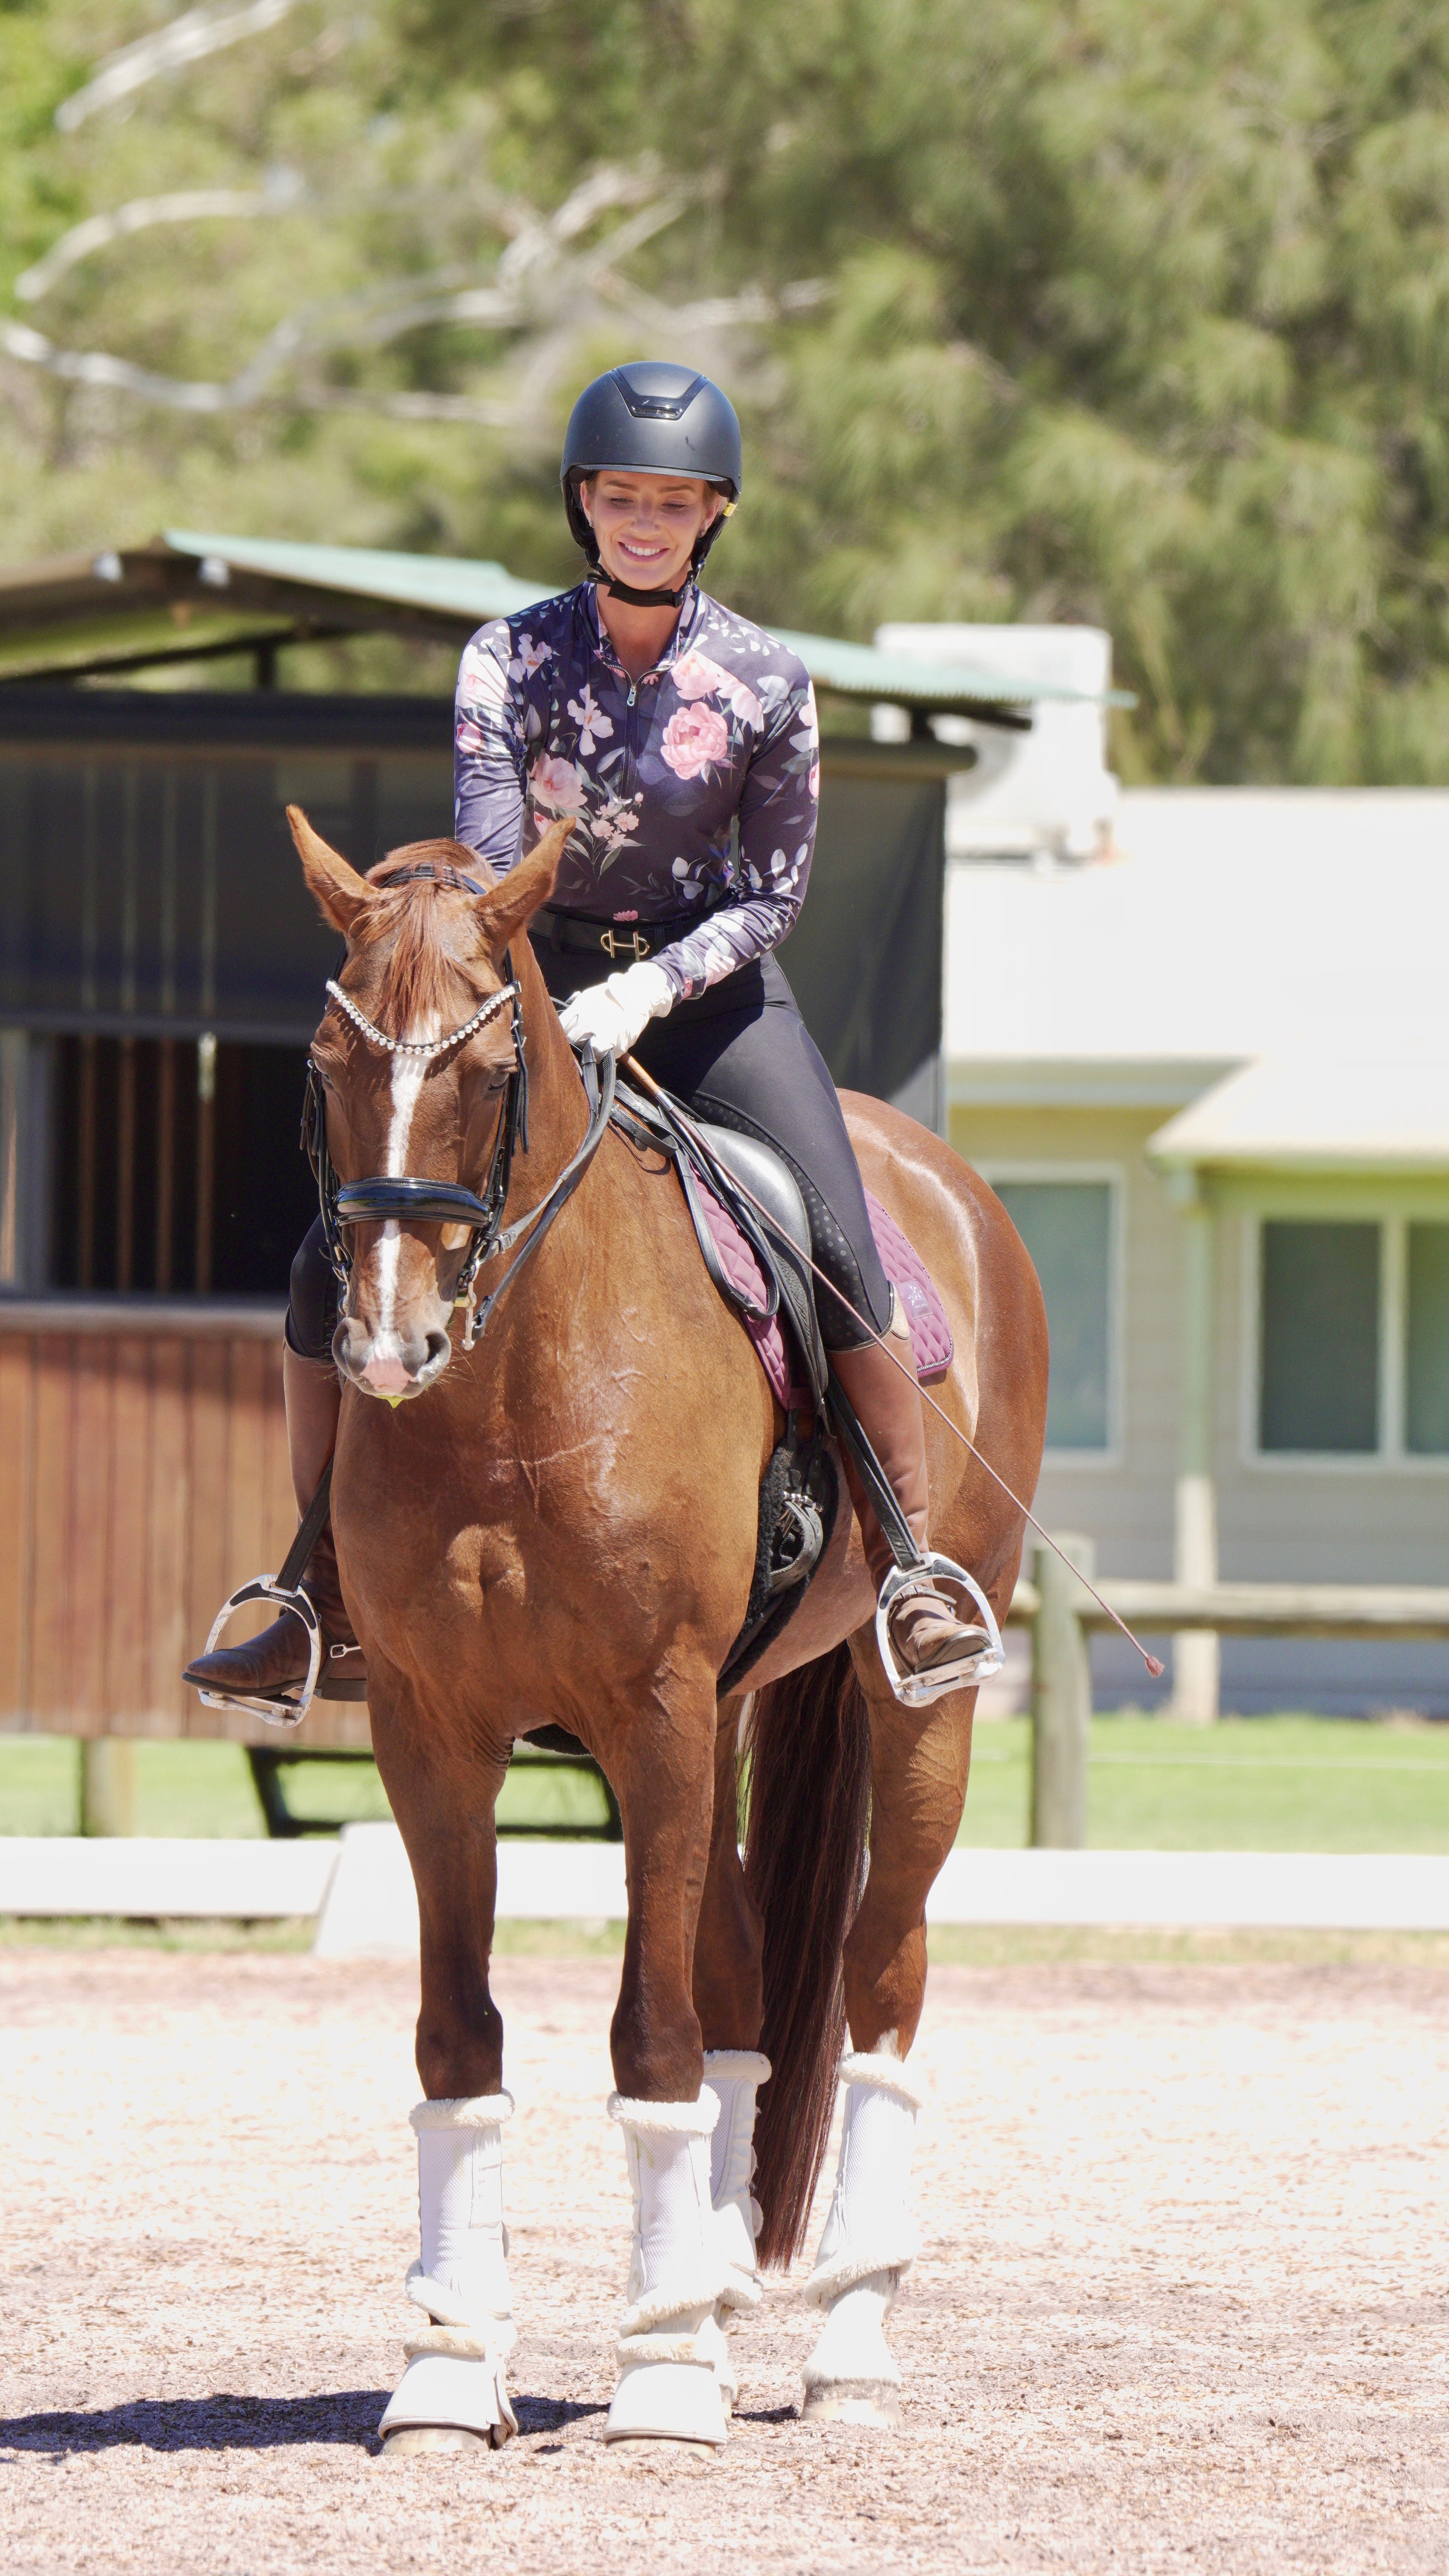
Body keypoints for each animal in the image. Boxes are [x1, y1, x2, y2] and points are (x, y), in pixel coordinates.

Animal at [286, 801, 1048, 2453]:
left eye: (490, 1074)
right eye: (325, 1065)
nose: (386, 1343)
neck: (515, 1385)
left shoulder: (652, 1709)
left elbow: (648, 2034)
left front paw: (659, 2387)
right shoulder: (435, 1733)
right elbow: (462, 2038)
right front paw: (449, 2372)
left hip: (905, 1709)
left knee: (880, 1987)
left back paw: (845, 2342)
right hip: (728, 1717)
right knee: (750, 1980)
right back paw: (707, 2287)